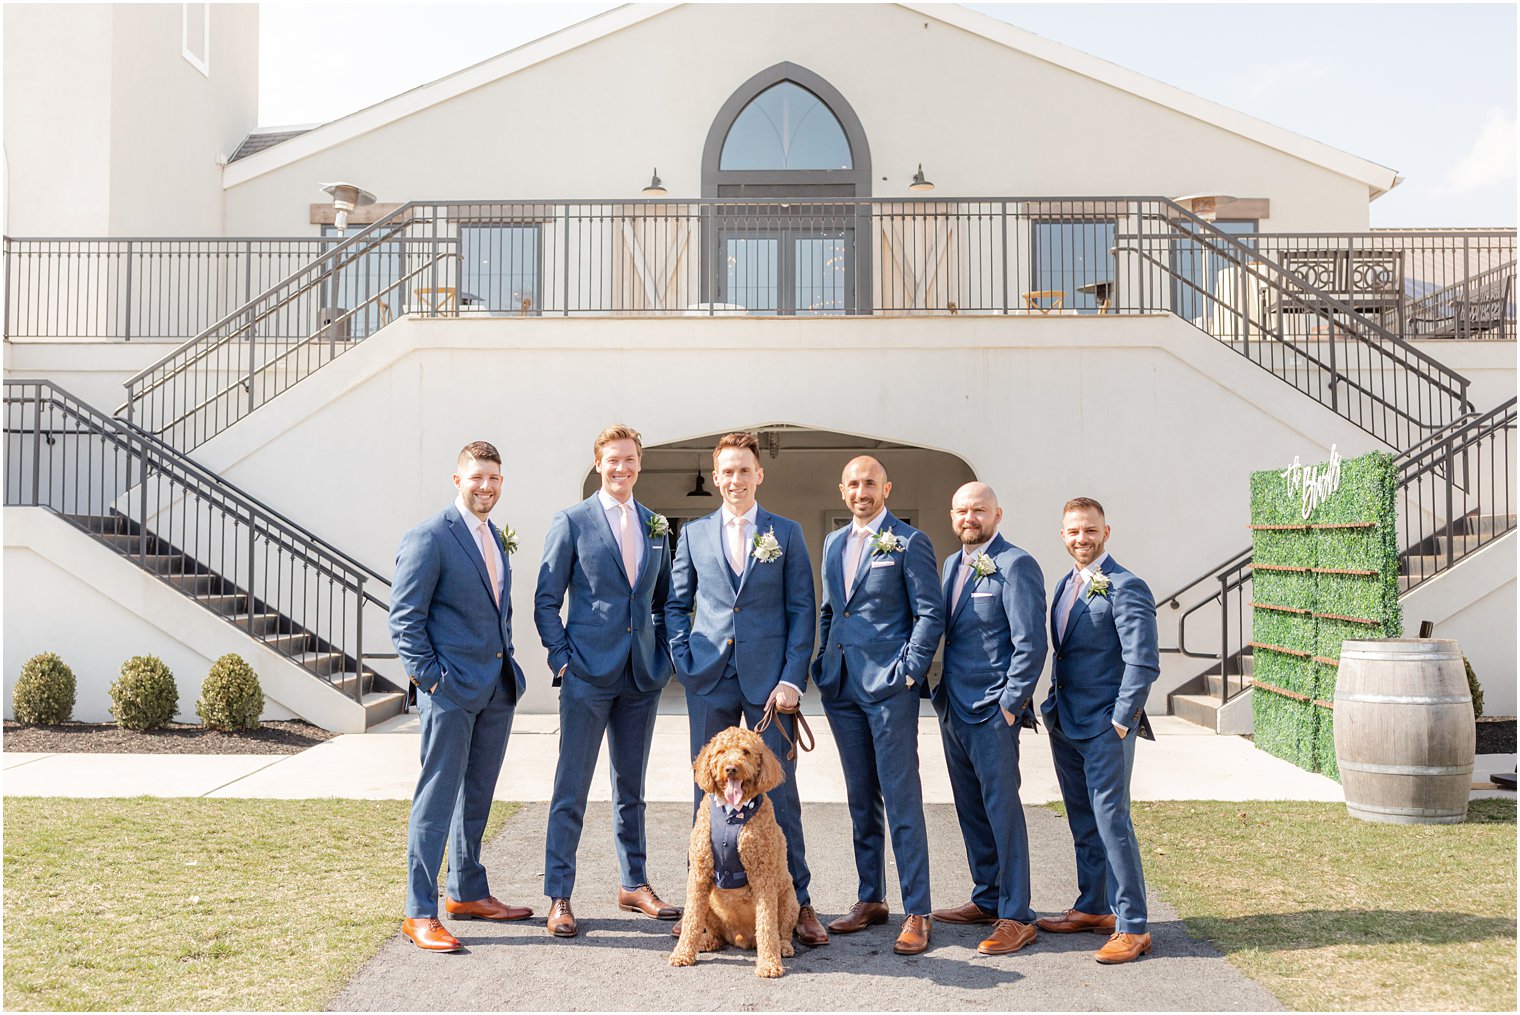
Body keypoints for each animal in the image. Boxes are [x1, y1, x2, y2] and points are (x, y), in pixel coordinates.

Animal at [668, 726, 802, 978]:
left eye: (746, 752)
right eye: (720, 752)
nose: (731, 768)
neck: (732, 813)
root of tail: (741, 939)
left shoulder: (763, 875)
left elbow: (767, 924)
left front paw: (769, 964)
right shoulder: (700, 872)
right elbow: (691, 918)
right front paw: (682, 953)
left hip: (789, 900)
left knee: (781, 932)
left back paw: (783, 947)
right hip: (710, 903)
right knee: (716, 933)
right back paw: (708, 941)